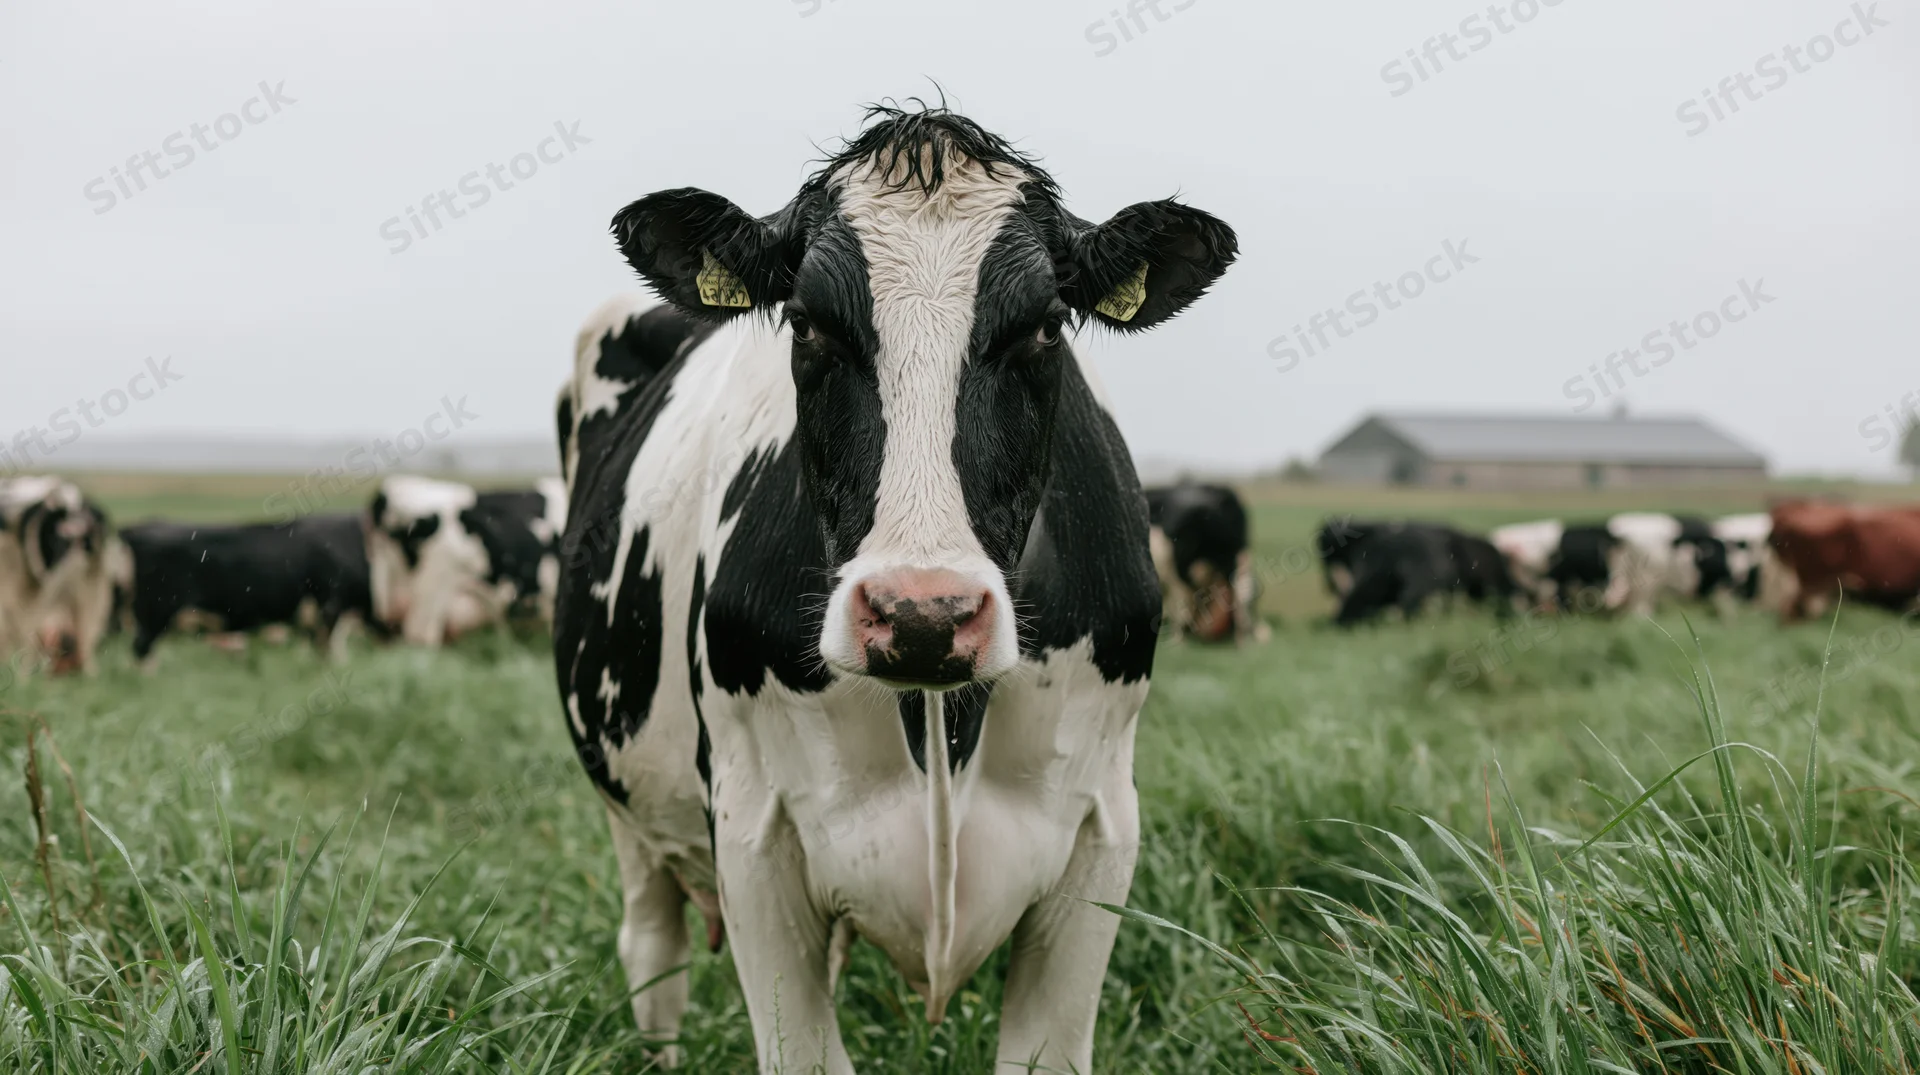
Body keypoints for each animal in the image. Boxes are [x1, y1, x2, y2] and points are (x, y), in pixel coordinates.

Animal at [550, 104, 1236, 1072]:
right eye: (806, 324)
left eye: (1044, 326)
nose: (922, 614)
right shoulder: (752, 831)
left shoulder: (1103, 829)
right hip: (627, 800)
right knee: (654, 955)